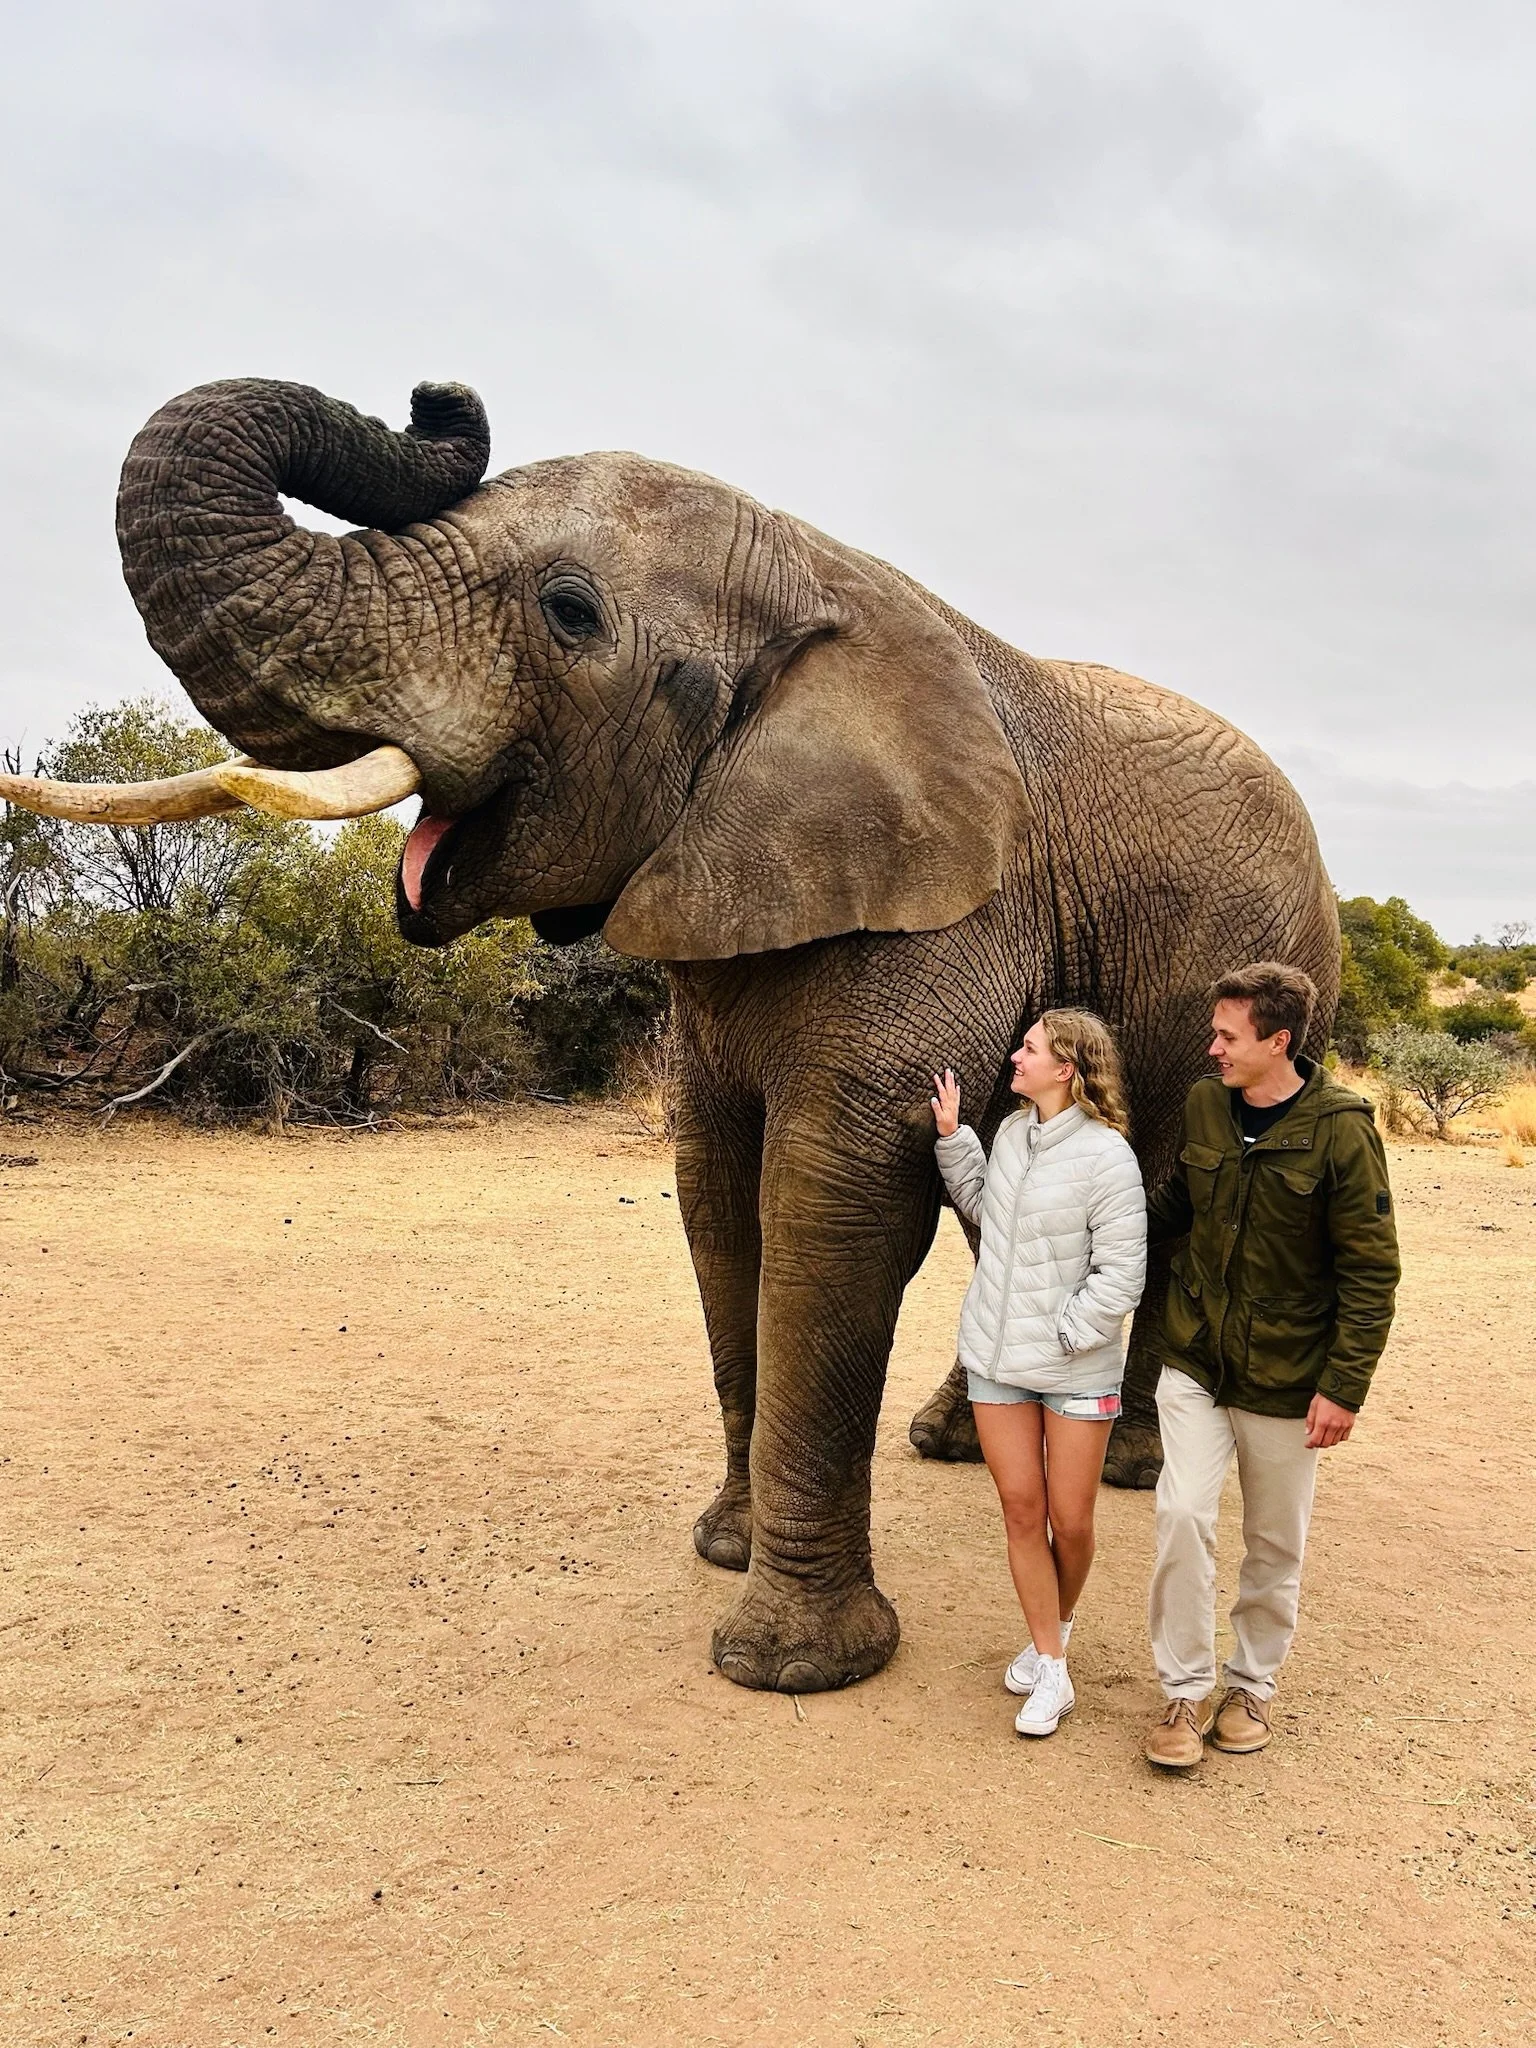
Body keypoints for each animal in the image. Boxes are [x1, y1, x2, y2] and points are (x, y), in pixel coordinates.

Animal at [4, 377, 1340, 1695]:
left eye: (569, 611)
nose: (439, 398)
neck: (816, 570)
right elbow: (718, 1194)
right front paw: (724, 1550)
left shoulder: (954, 901)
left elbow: (831, 1203)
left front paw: (788, 1662)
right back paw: (957, 1440)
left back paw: (1126, 1465)